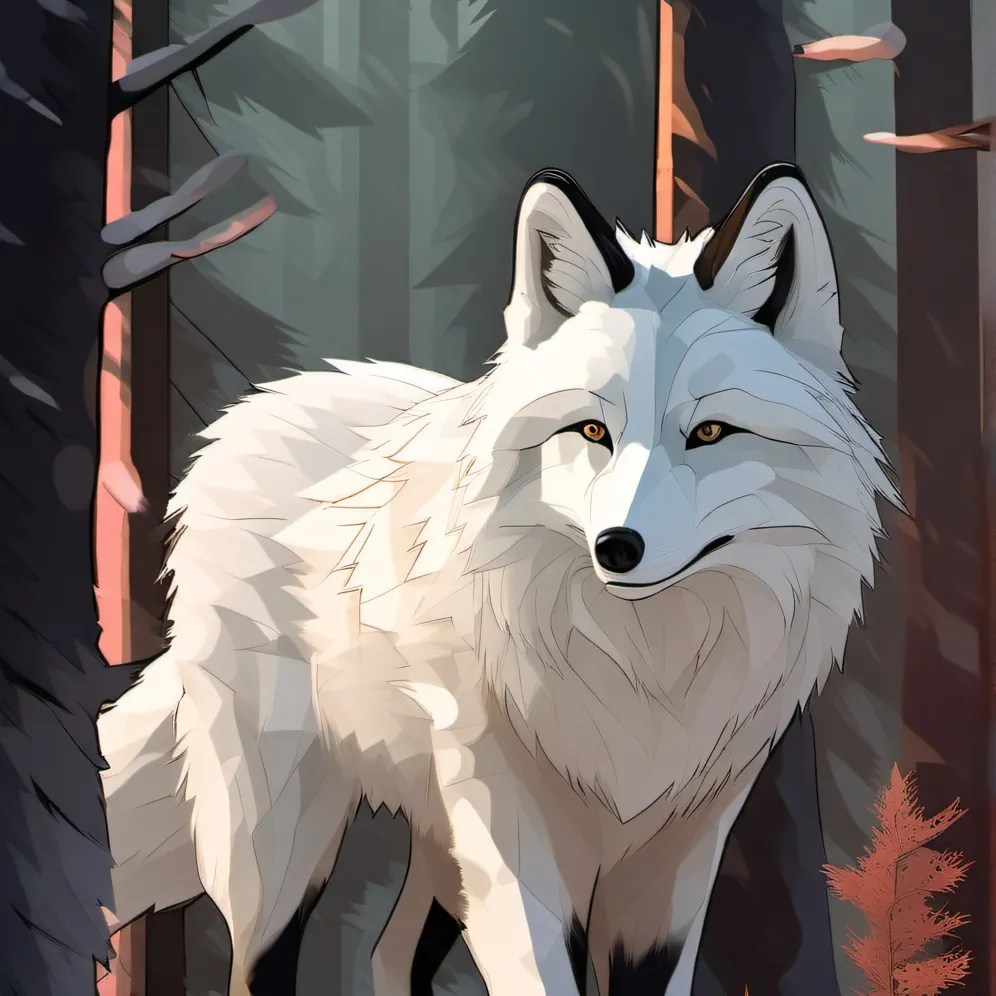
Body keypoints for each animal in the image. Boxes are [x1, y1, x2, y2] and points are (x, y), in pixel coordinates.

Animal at [97, 162, 900, 996]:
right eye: (592, 430)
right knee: (261, 963)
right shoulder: (517, 846)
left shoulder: (677, 856)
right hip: (287, 838)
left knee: (389, 954)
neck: (645, 673)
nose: (618, 546)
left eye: (710, 432)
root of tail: (252, 411)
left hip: (437, 845)